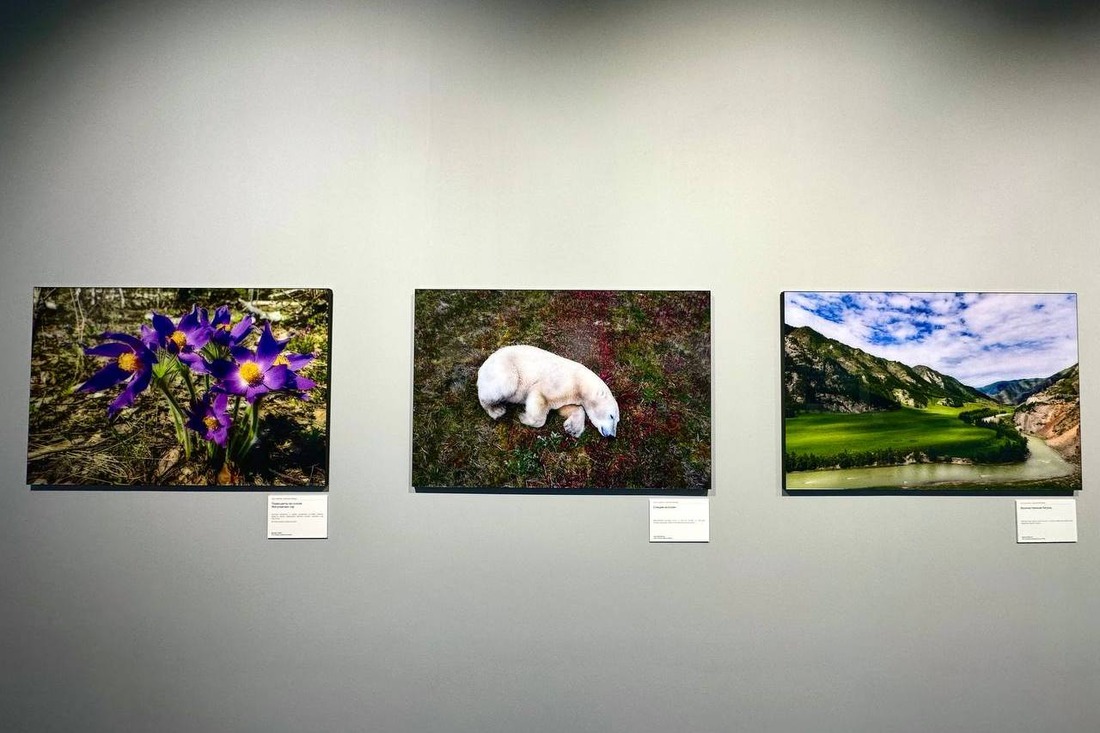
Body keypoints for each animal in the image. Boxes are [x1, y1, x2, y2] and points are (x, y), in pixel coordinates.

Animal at [477, 343, 620, 435]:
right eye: (612, 416)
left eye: (617, 421)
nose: (612, 435)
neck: (580, 381)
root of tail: (482, 367)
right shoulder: (559, 381)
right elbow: (539, 396)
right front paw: (524, 417)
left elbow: (567, 407)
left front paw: (572, 429)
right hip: (503, 368)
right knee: (504, 386)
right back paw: (496, 410)